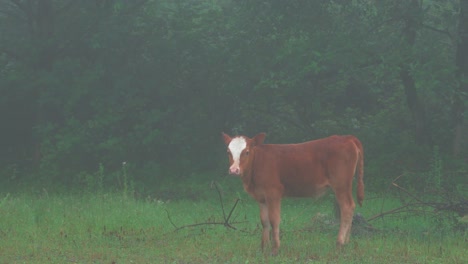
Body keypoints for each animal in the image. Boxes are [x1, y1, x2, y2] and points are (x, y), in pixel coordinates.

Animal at [221, 133, 364, 255]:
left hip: (341, 184)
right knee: (350, 207)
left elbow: (274, 220)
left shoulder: (273, 193)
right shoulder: (261, 197)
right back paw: (346, 243)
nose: (233, 170)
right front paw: (263, 249)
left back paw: (340, 243)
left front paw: (275, 249)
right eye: (228, 152)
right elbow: (264, 221)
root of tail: (346, 137)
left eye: (246, 152)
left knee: (347, 207)